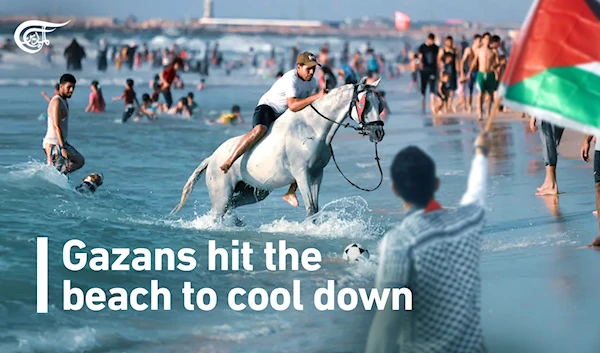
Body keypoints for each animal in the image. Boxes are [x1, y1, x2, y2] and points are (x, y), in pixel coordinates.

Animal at [170, 79, 384, 223]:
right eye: (364, 104)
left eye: (380, 103)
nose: (378, 132)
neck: (314, 128)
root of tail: (211, 158)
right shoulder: (302, 173)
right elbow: (310, 208)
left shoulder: (316, 173)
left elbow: (315, 208)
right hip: (221, 193)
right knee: (217, 214)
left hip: (253, 192)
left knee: (231, 206)